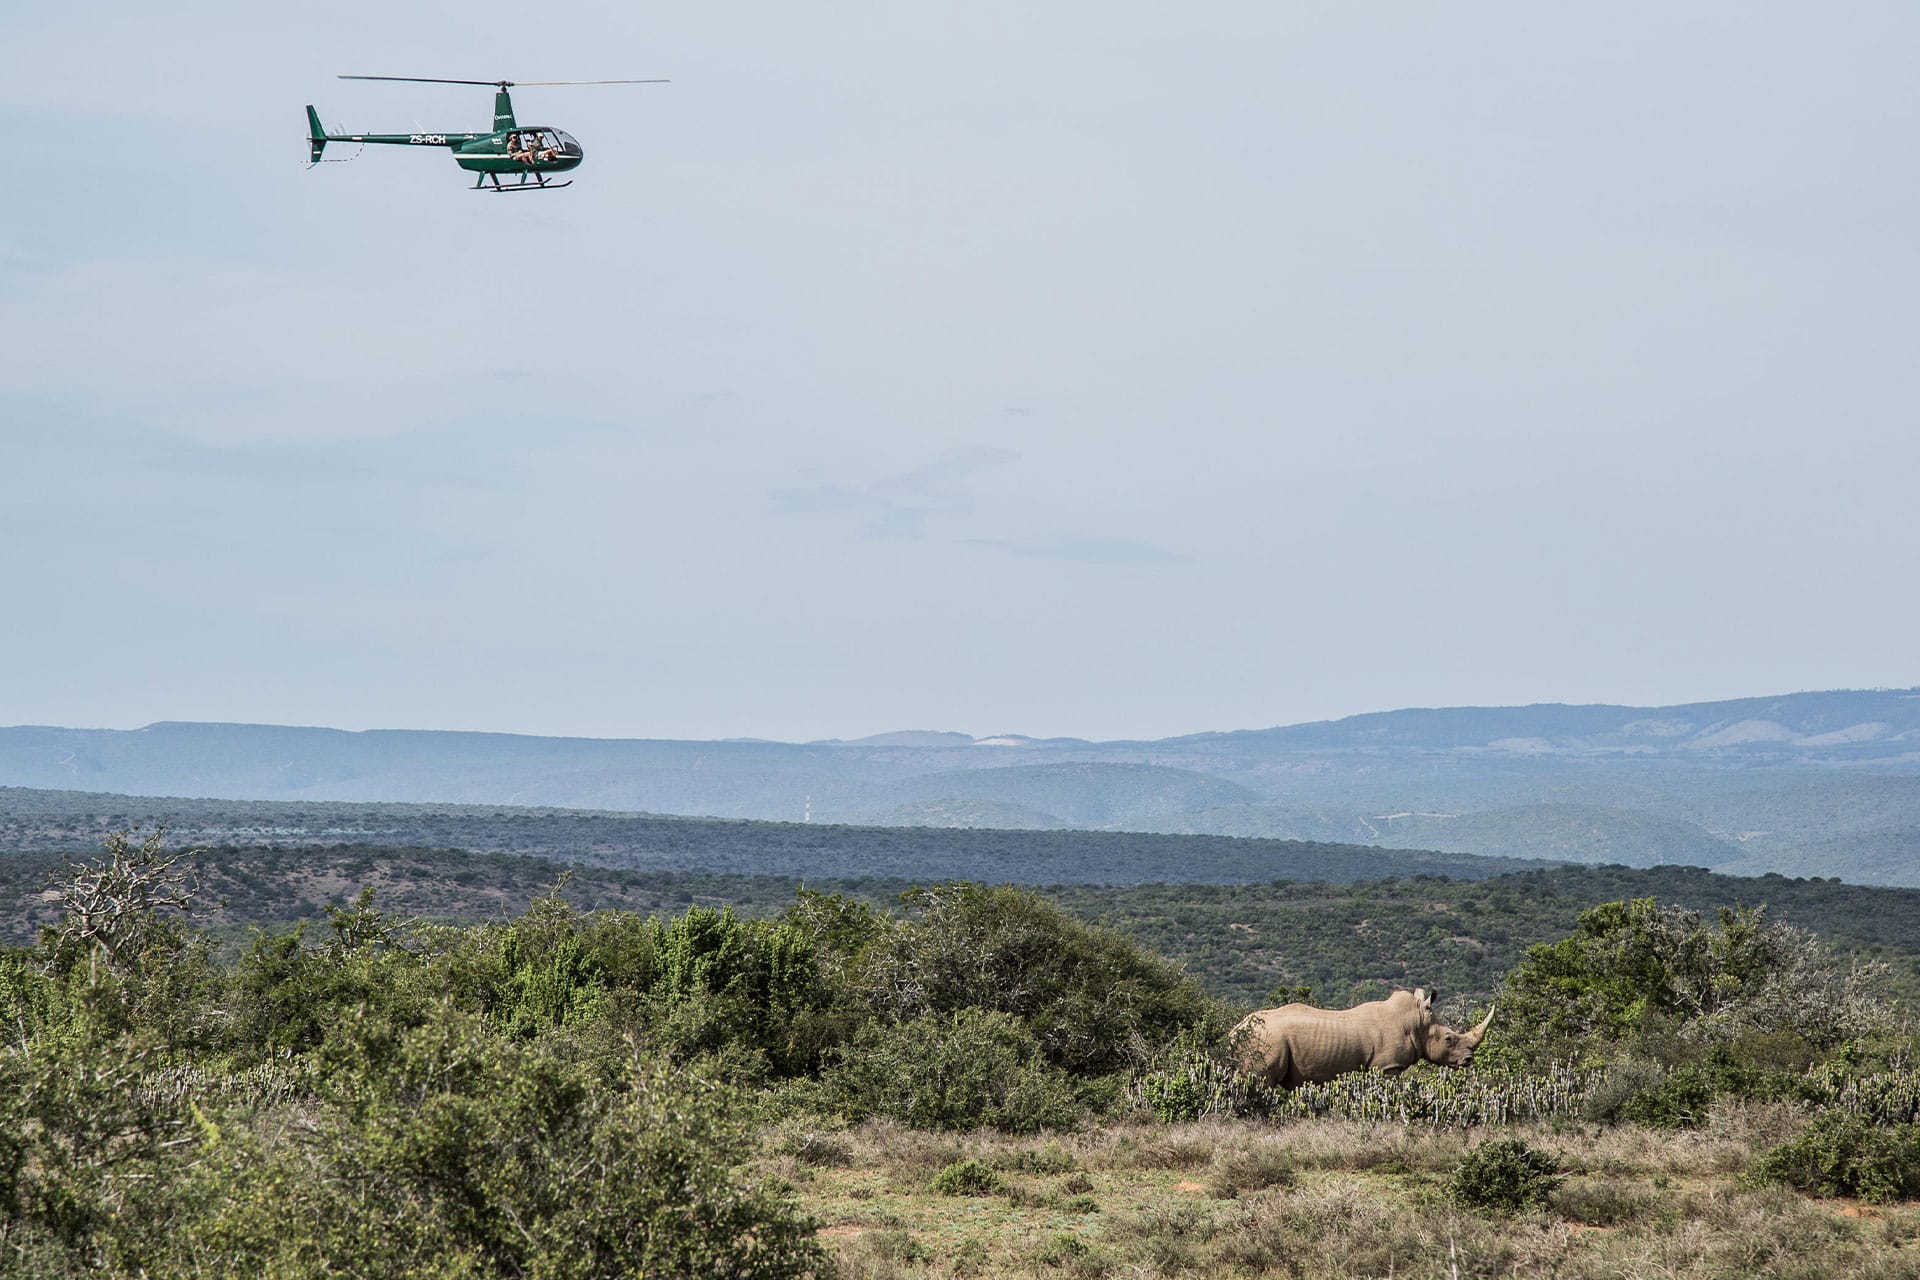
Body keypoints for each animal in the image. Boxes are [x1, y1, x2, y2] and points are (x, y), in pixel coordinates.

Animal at [1231, 987, 1495, 1089]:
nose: (1468, 1059)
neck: (1416, 1021)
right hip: (1267, 1039)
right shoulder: (1387, 1067)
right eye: (1449, 1039)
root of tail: (1236, 1029)